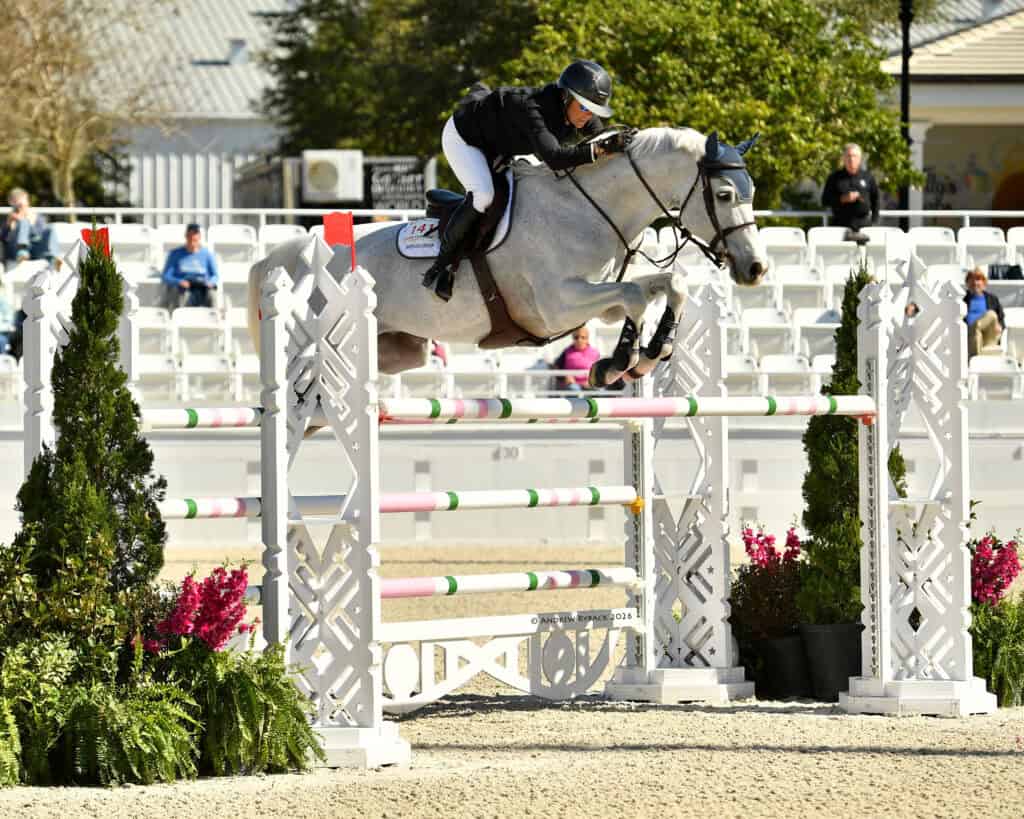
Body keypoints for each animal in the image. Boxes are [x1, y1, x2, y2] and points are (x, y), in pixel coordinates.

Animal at [249, 127, 768, 387]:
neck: (585, 207)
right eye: (724, 194)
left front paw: (652, 352)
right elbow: (636, 297)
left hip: (398, 349)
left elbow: (666, 284)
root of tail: (289, 254)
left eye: (752, 192)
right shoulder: (557, 305)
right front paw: (618, 362)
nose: (756, 269)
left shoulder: (594, 298)